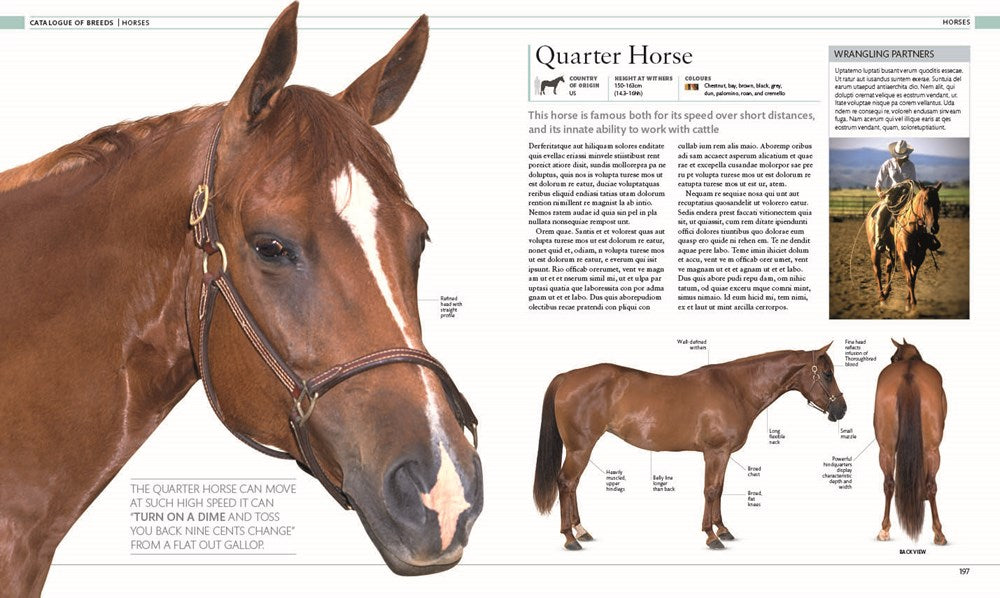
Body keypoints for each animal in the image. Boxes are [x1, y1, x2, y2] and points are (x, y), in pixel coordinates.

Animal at [534, 344, 847, 550]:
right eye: (827, 374)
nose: (841, 410)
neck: (735, 389)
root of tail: (568, 376)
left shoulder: (722, 454)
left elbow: (719, 490)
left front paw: (723, 530)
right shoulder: (715, 452)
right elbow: (710, 490)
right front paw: (711, 536)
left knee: (572, 486)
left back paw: (582, 531)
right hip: (580, 449)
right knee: (566, 483)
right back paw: (570, 538)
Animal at [865, 181, 942, 312]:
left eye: (939, 202)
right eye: (925, 202)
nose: (933, 228)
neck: (914, 227)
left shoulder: (919, 257)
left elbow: (913, 278)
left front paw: (908, 302)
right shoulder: (904, 256)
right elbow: (909, 279)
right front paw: (913, 305)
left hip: (892, 250)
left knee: (888, 267)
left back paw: (887, 292)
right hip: (874, 249)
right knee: (877, 271)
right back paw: (882, 298)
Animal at [874, 339, 947, 545]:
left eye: (893, 357)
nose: (892, 360)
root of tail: (908, 375)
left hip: (886, 449)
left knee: (889, 484)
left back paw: (884, 530)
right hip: (932, 449)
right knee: (932, 485)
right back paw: (939, 533)